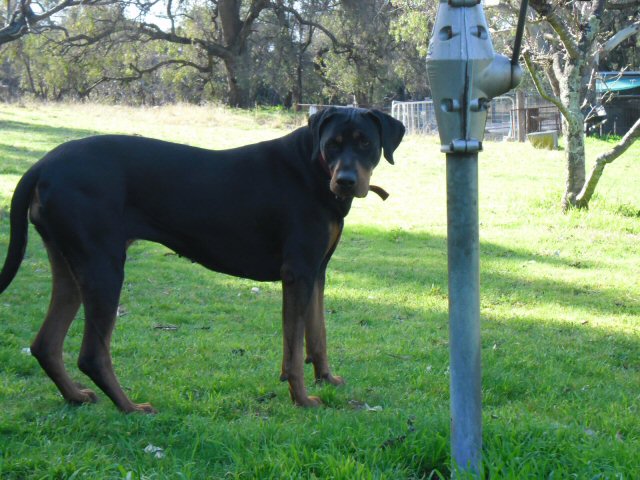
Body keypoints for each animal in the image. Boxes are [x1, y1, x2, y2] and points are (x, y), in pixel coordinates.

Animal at [0, 107, 404, 412]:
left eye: (365, 143)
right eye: (332, 144)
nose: (346, 180)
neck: (314, 170)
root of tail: (43, 165)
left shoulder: (317, 272)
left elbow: (317, 335)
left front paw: (327, 378)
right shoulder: (299, 272)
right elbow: (294, 350)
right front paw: (303, 399)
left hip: (70, 265)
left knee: (45, 344)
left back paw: (75, 396)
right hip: (104, 267)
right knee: (91, 354)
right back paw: (131, 407)